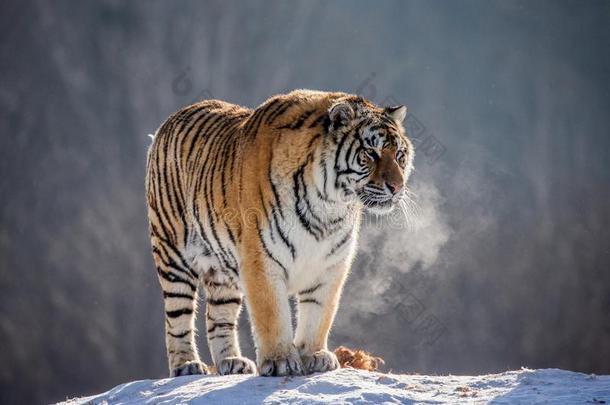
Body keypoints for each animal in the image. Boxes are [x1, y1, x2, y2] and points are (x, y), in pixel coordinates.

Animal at [145, 88, 414, 376]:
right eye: (371, 153)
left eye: (400, 155)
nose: (397, 187)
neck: (328, 205)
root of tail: (168, 122)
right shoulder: (261, 259)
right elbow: (272, 314)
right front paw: (280, 361)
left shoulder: (330, 264)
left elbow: (319, 313)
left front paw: (314, 355)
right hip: (173, 256)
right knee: (177, 317)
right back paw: (187, 364)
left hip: (221, 272)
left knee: (218, 317)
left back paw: (232, 362)